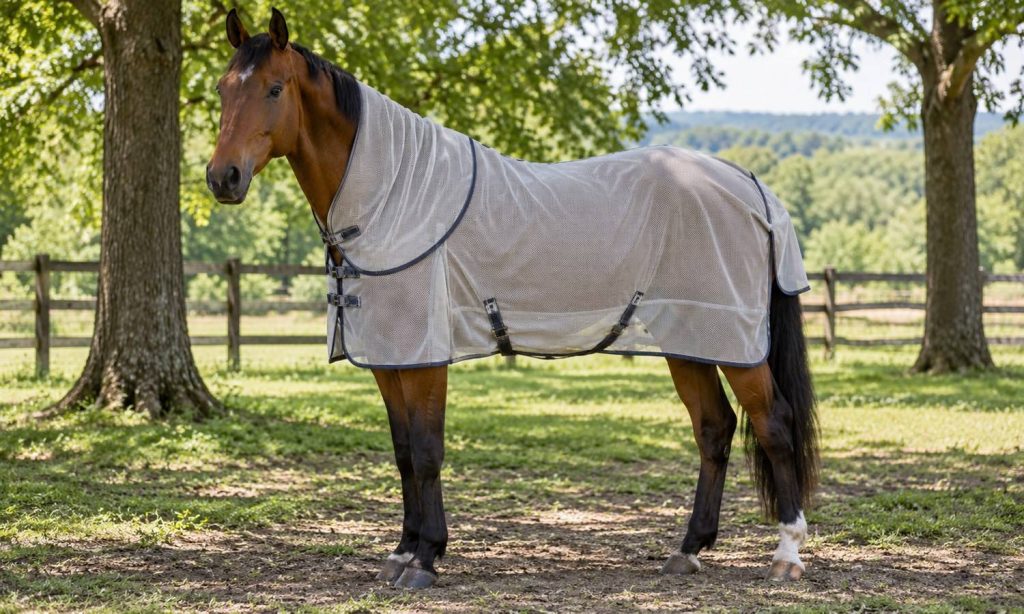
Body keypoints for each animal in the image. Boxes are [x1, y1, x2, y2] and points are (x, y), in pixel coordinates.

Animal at [207, 8, 819, 590]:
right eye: (221, 87)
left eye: (274, 89)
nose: (222, 178)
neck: (393, 195)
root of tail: (751, 186)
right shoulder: (389, 357)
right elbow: (403, 453)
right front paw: (402, 551)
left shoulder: (425, 358)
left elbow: (427, 451)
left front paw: (425, 559)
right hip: (689, 340)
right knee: (714, 429)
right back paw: (688, 550)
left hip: (734, 342)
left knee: (774, 424)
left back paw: (786, 555)